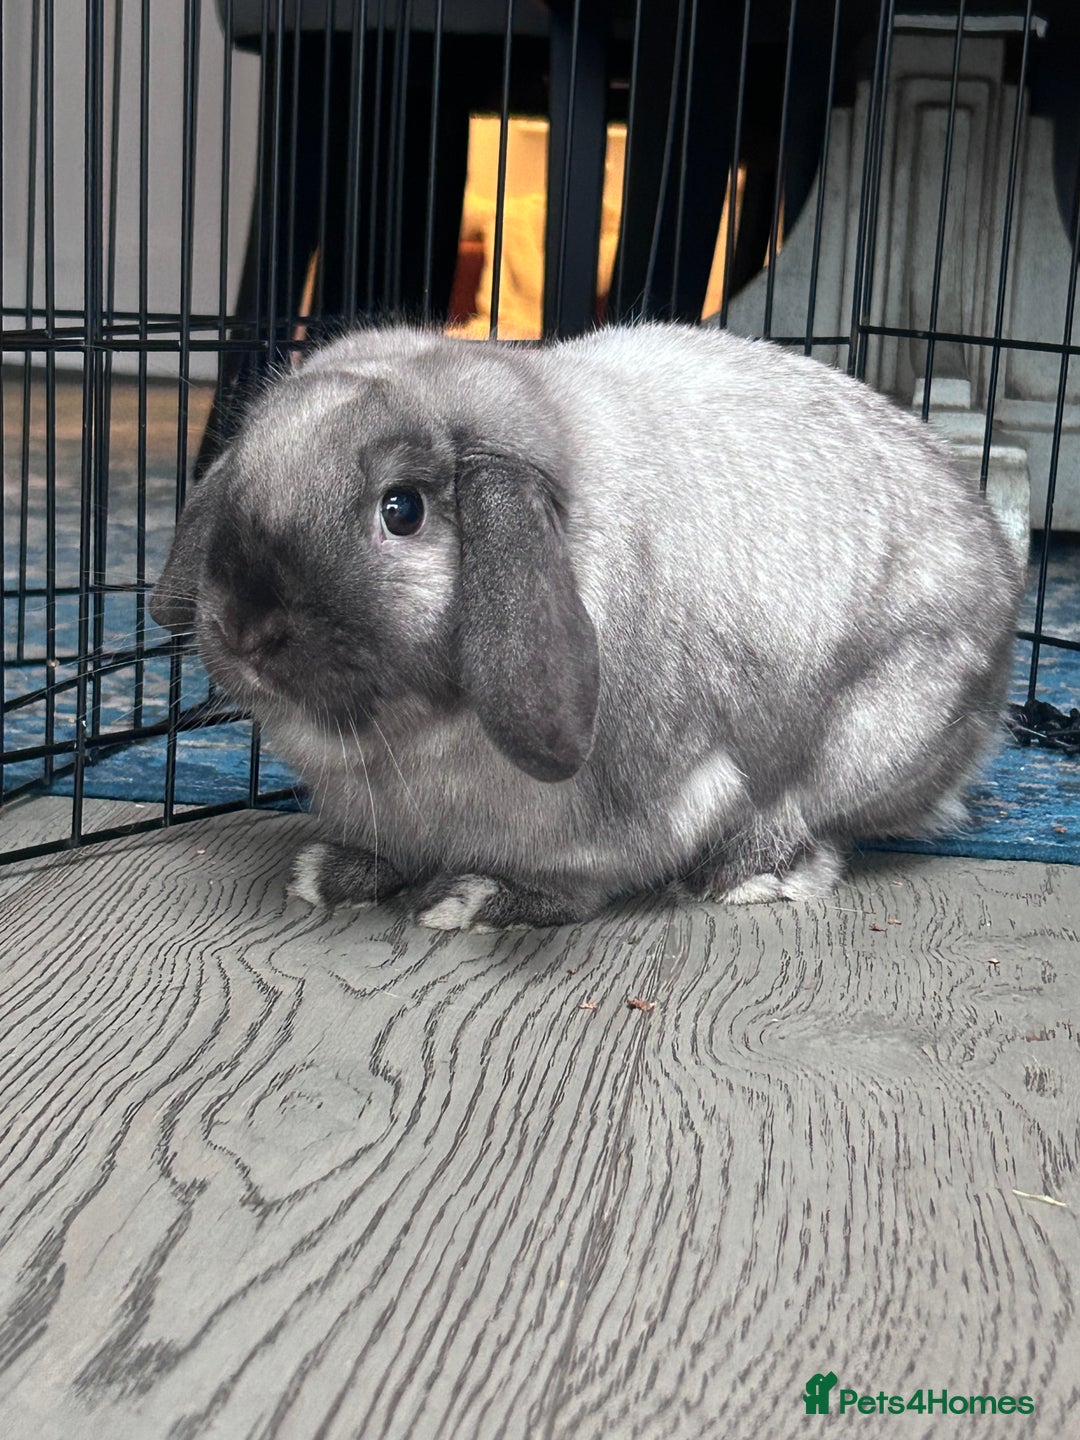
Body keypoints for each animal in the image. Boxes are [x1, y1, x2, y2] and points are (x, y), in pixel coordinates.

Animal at [150, 323, 1023, 931]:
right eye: (244, 473)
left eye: (402, 510)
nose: (243, 627)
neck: (410, 738)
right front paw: (333, 876)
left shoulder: (631, 814)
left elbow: (573, 880)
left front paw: (481, 900)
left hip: (869, 736)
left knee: (810, 818)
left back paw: (746, 875)